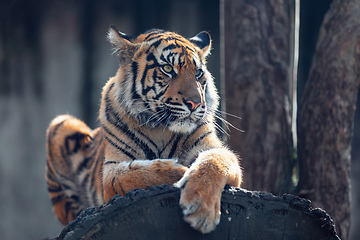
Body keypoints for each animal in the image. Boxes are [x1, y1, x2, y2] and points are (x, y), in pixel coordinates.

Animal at [45, 25, 242, 233]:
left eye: (197, 73)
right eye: (167, 69)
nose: (195, 103)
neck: (161, 129)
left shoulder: (214, 148)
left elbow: (213, 163)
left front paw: (201, 210)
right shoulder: (111, 169)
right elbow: (135, 174)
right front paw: (180, 171)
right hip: (62, 123)